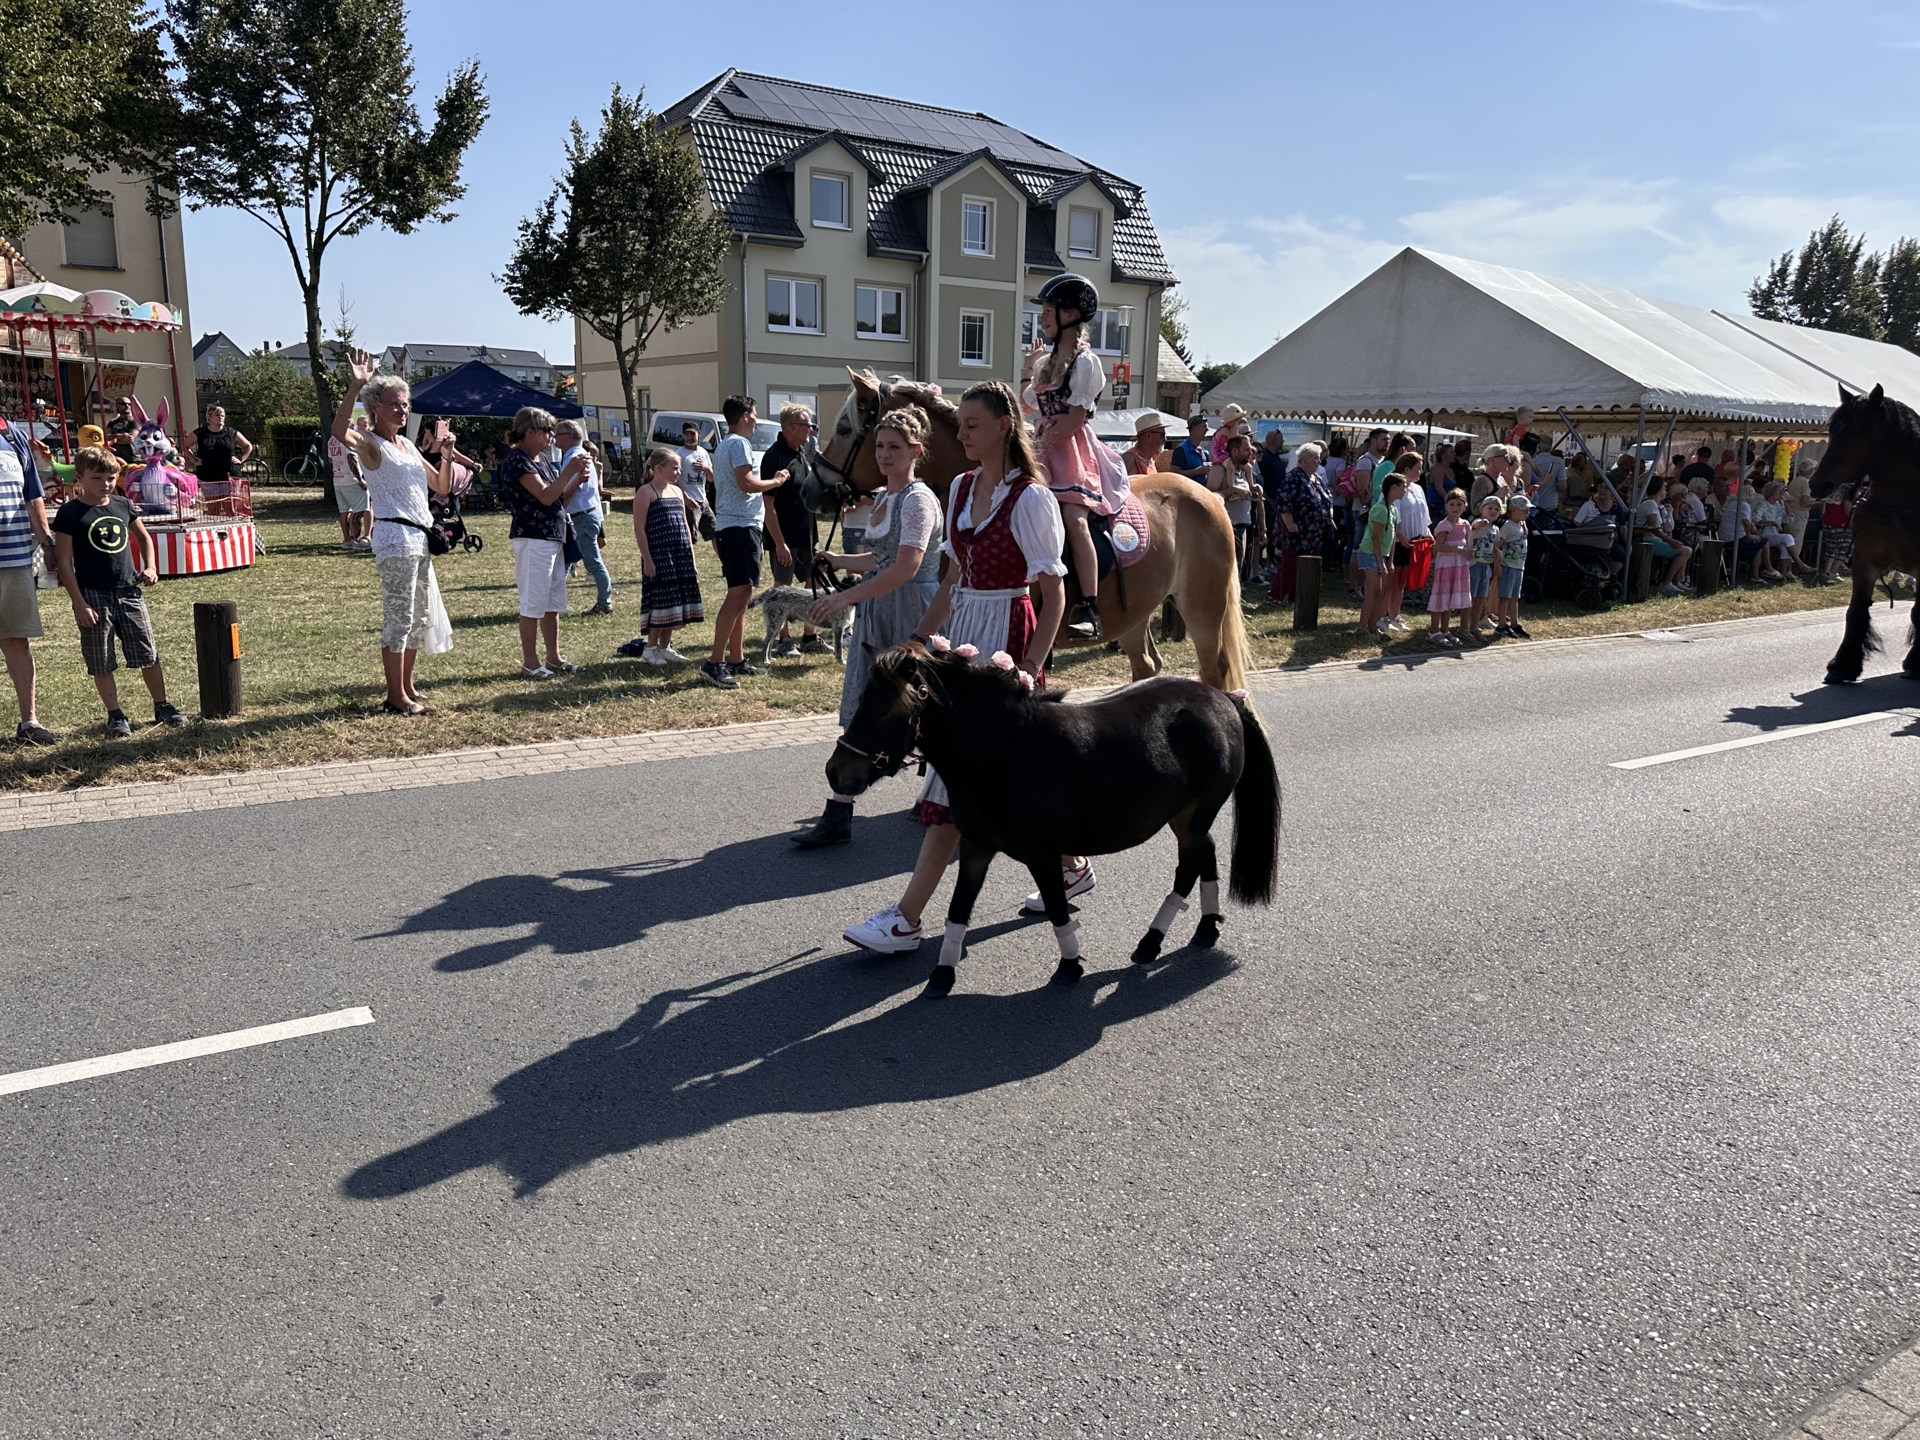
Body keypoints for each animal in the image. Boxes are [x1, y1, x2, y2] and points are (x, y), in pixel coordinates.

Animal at [1804, 378, 1920, 683]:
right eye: (1833, 431)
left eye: (1859, 435)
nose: (1818, 484)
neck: (1900, 501)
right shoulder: (1866, 560)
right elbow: (1855, 611)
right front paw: (1843, 664)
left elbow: (1919, 612)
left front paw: (1916, 662)